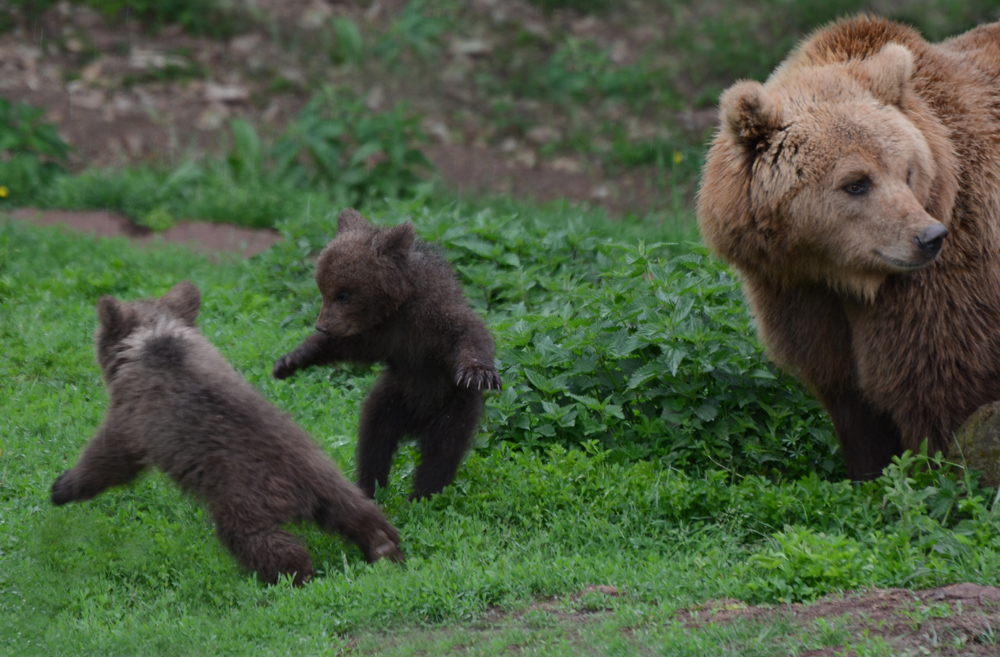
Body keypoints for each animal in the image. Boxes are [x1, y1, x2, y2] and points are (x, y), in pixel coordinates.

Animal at [700, 14, 1000, 476]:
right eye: (856, 183)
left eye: (908, 171)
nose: (929, 237)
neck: (835, 271)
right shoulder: (802, 300)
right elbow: (855, 408)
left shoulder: (943, 294)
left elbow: (940, 393)